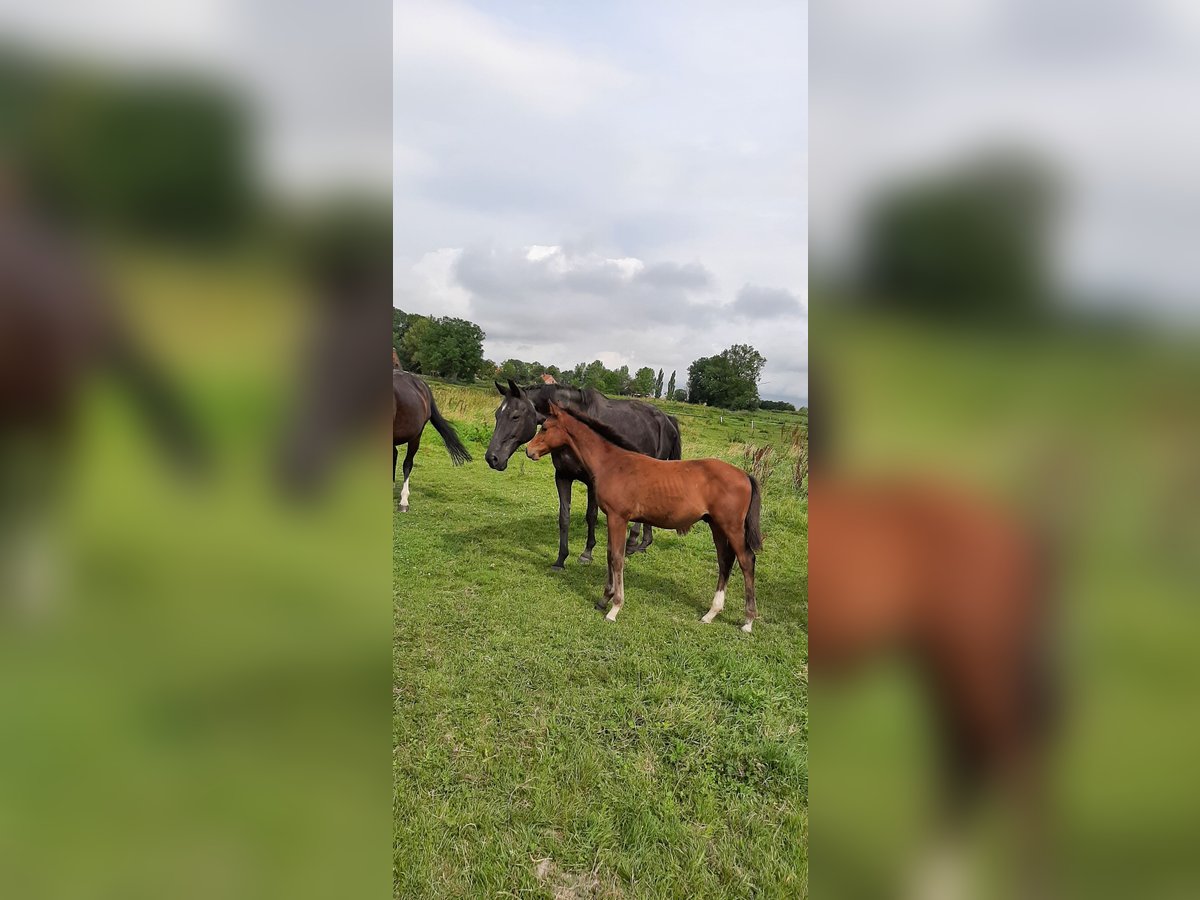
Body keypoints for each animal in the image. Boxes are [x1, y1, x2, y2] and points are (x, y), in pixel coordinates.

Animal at [482, 381, 681, 571]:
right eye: (497, 415)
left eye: (515, 416)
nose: (492, 458)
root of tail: (667, 419)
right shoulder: (563, 477)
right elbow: (564, 517)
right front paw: (560, 559)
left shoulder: (593, 482)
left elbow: (591, 515)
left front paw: (587, 553)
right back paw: (643, 544)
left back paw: (632, 542)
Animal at [523, 405, 758, 628]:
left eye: (545, 428)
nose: (528, 450)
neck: (611, 463)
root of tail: (745, 475)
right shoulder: (613, 518)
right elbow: (610, 554)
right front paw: (604, 599)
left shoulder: (618, 517)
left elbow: (617, 558)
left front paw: (615, 608)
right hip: (716, 526)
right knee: (725, 561)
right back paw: (710, 614)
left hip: (732, 527)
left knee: (746, 561)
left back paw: (748, 621)